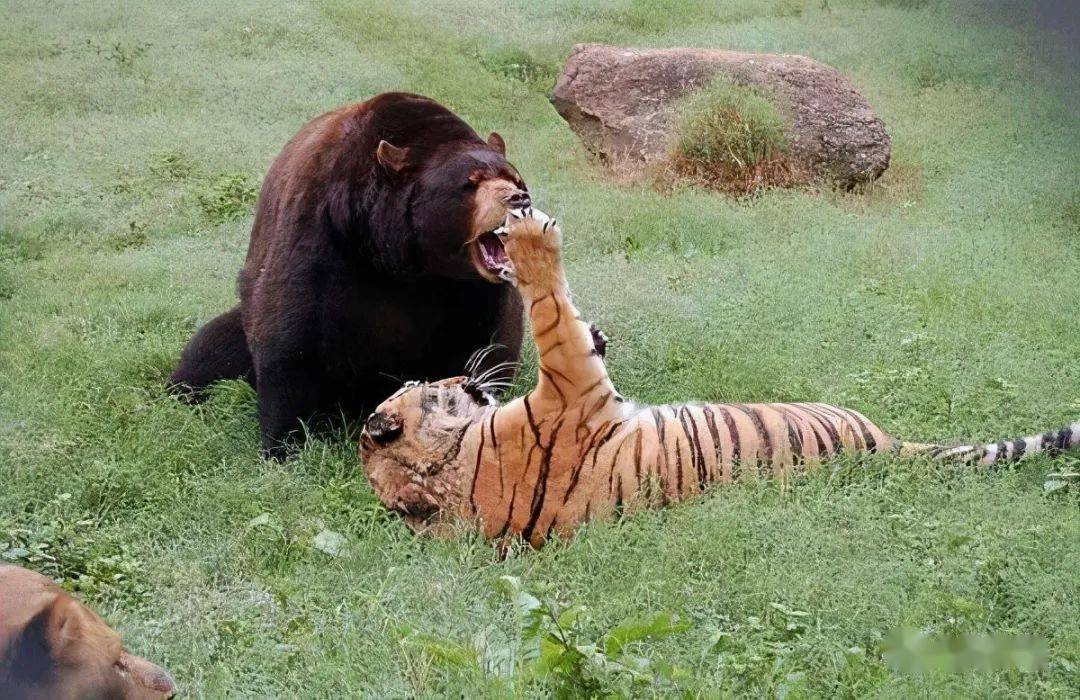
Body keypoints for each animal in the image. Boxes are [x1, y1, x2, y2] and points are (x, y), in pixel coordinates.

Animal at [167, 90, 531, 455]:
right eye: (470, 183)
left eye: (514, 178)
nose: (519, 198)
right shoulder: (320, 232)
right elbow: (289, 337)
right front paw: (283, 443)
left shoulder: (470, 289)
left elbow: (485, 344)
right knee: (210, 349)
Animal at [360, 207, 1080, 546]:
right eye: (429, 388)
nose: (460, 377)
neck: (454, 469)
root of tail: (888, 446)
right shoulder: (568, 382)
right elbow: (551, 311)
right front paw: (530, 239)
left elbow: (570, 323)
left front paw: (597, 328)